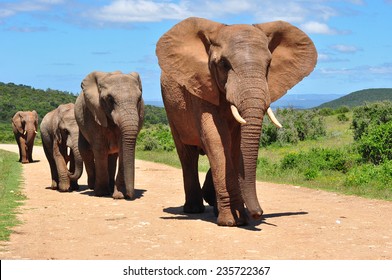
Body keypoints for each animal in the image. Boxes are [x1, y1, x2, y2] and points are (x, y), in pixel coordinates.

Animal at [74, 70, 144, 199]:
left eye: (139, 99)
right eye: (110, 99)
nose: (130, 196)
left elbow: (122, 148)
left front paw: (119, 195)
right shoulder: (93, 112)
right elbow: (100, 149)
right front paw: (101, 193)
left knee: (112, 155)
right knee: (85, 151)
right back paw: (93, 187)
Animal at [155, 17, 316, 225]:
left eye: (269, 65)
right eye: (224, 64)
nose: (258, 213)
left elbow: (234, 144)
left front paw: (239, 217)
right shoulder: (201, 85)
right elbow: (216, 139)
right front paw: (232, 221)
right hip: (171, 108)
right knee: (187, 154)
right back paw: (193, 210)